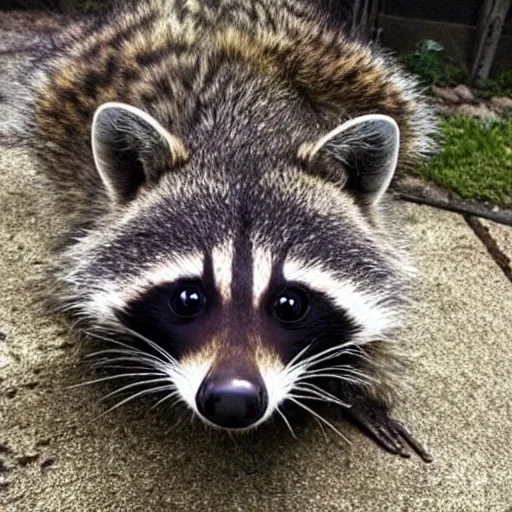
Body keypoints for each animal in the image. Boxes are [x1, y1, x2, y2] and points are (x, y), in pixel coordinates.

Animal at [19, 0, 436, 460]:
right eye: (187, 298)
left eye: (291, 304)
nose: (232, 400)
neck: (242, 137)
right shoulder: (86, 209)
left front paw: (360, 384)